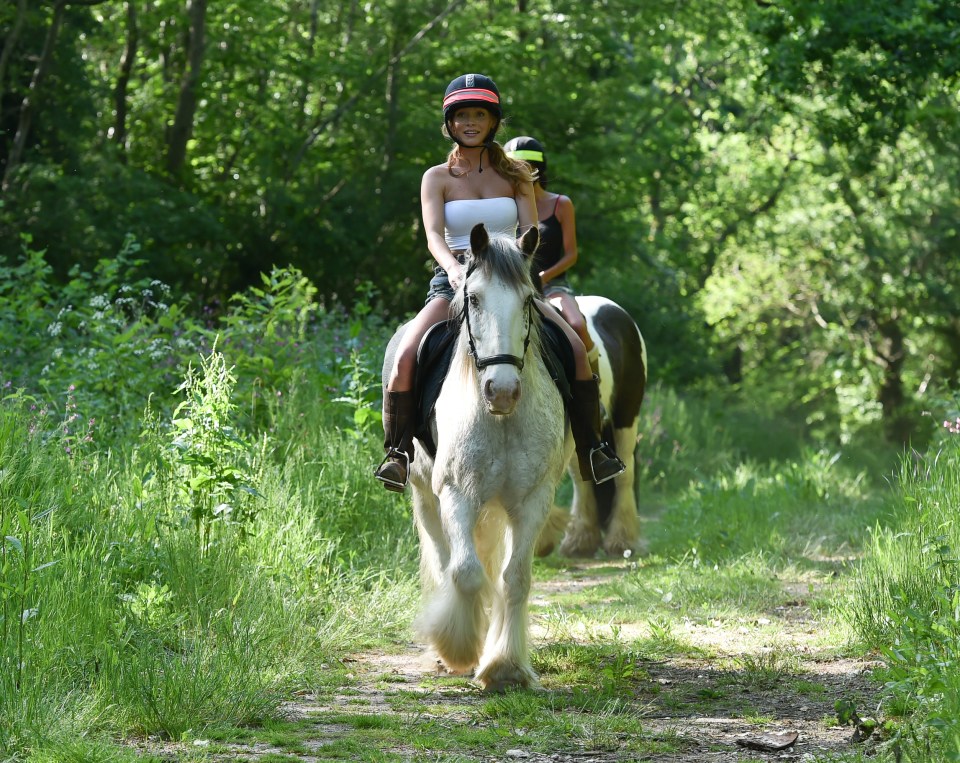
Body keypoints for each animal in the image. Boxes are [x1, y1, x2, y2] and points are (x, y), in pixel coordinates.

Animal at [384, 222, 568, 692]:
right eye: (474, 299)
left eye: (527, 300)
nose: (501, 391)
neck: (499, 419)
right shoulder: (457, 494)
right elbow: (464, 571)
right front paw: (458, 648)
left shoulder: (532, 500)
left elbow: (514, 578)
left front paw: (505, 667)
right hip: (425, 497)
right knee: (444, 558)